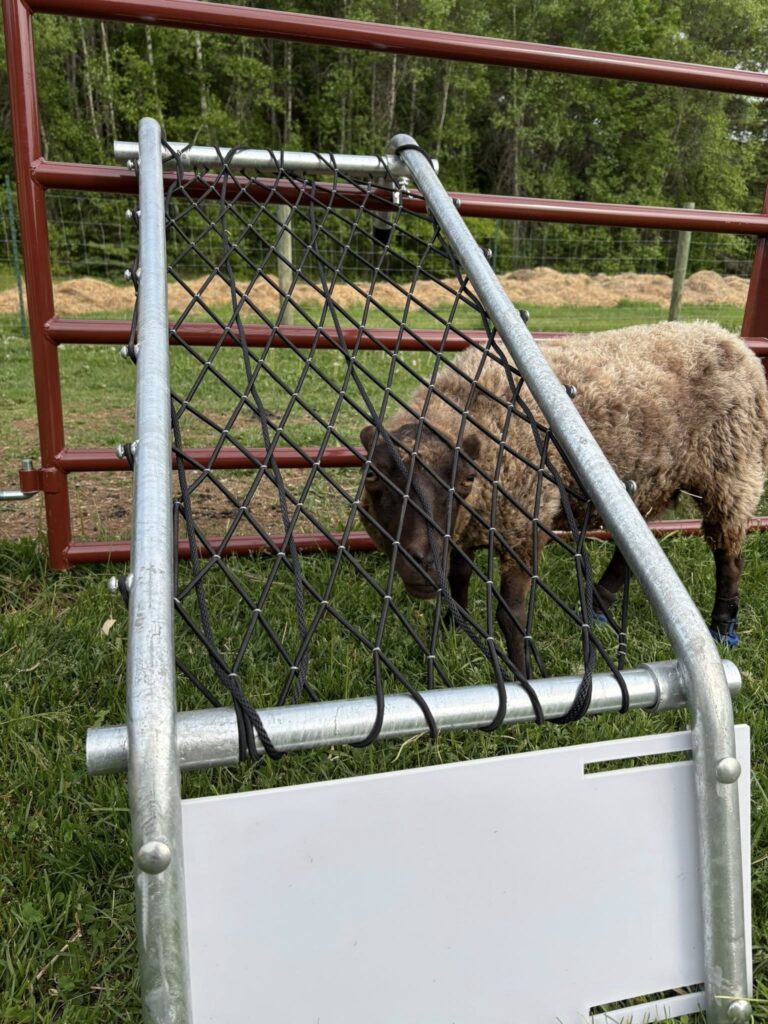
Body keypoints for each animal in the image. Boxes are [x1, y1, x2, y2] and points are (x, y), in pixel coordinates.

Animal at [359, 320, 768, 675]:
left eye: (465, 480)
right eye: (374, 480)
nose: (420, 563)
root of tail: (728, 337)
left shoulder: (523, 523)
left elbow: (511, 614)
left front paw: (522, 674)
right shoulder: (468, 525)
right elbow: (457, 578)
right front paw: (450, 629)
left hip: (731, 471)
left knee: (729, 557)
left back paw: (723, 626)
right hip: (652, 480)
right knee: (631, 554)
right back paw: (599, 603)